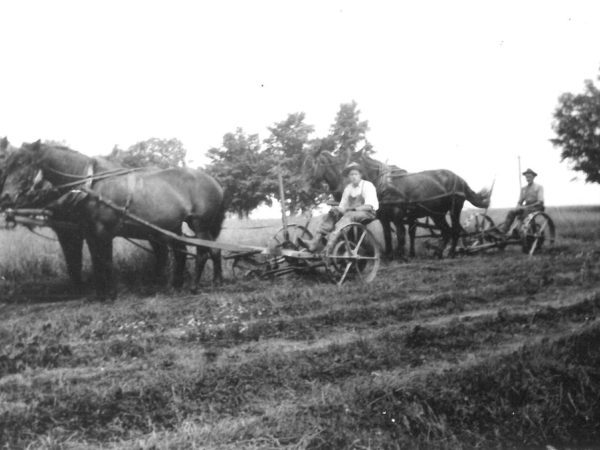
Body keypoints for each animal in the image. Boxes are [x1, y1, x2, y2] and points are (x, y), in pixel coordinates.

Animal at [0, 141, 225, 300]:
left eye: (22, 163)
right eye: (8, 164)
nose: (6, 197)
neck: (91, 184)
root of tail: (215, 182)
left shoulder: (102, 232)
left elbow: (106, 261)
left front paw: (111, 294)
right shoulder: (90, 233)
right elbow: (96, 261)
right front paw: (100, 293)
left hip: (199, 224)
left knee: (203, 252)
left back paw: (194, 286)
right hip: (173, 227)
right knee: (197, 251)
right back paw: (201, 282)